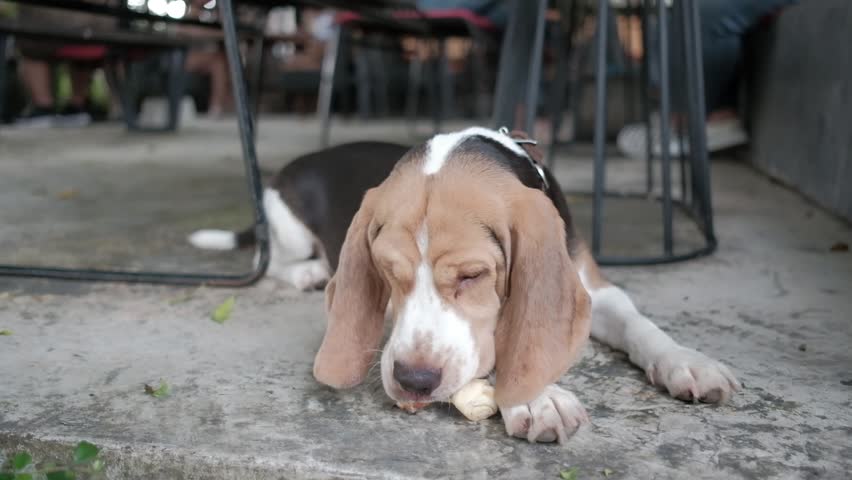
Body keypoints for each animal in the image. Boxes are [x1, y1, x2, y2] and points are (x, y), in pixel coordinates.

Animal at [190, 126, 736, 442]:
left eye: (473, 276)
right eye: (386, 272)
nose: (413, 381)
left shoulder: (593, 288)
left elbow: (638, 324)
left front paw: (686, 362)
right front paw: (535, 397)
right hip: (287, 226)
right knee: (271, 262)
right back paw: (309, 272)